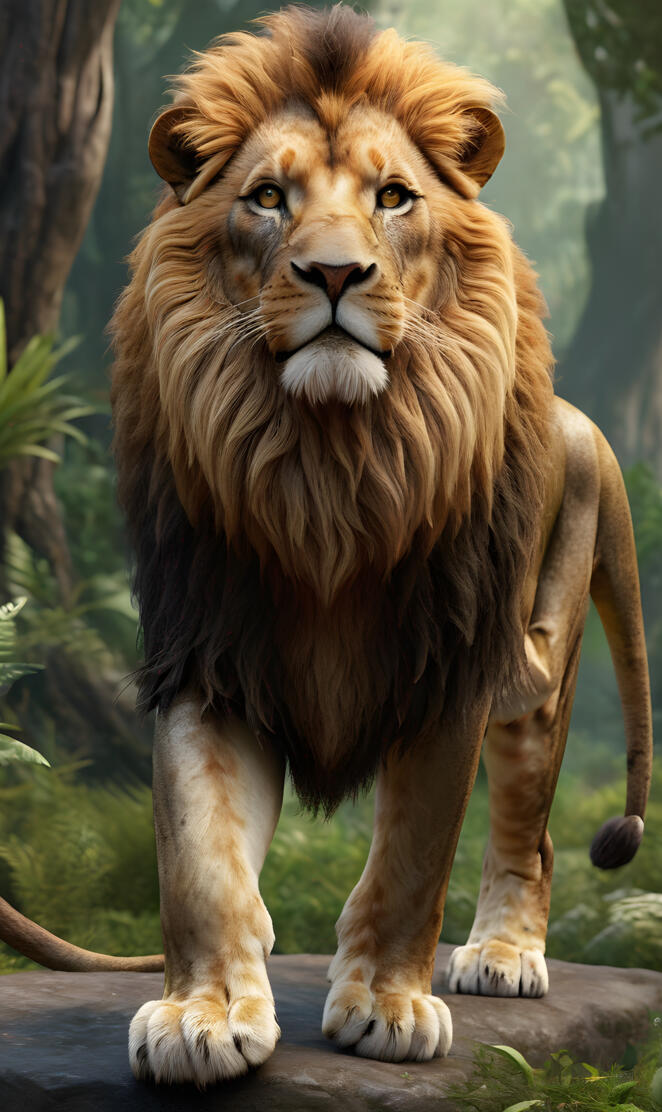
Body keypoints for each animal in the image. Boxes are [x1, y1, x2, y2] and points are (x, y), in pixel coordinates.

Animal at [0, 3, 652, 1087]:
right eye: (268, 198)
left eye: (393, 197)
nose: (336, 272)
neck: (330, 468)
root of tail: (582, 424)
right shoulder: (207, 653)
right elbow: (200, 856)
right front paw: (206, 1014)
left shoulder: (448, 664)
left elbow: (412, 857)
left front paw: (386, 1004)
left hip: (534, 660)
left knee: (531, 828)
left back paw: (502, 954)